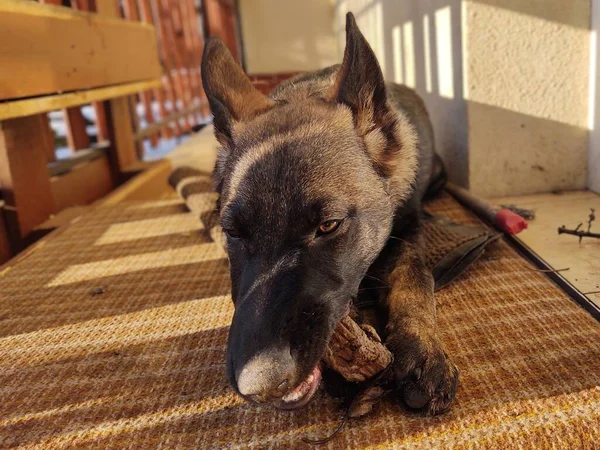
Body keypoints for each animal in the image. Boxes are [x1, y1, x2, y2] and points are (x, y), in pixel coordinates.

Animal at [202, 12, 460, 414]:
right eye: (235, 232)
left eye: (329, 225)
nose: (259, 385)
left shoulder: (410, 226)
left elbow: (413, 271)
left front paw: (421, 345)